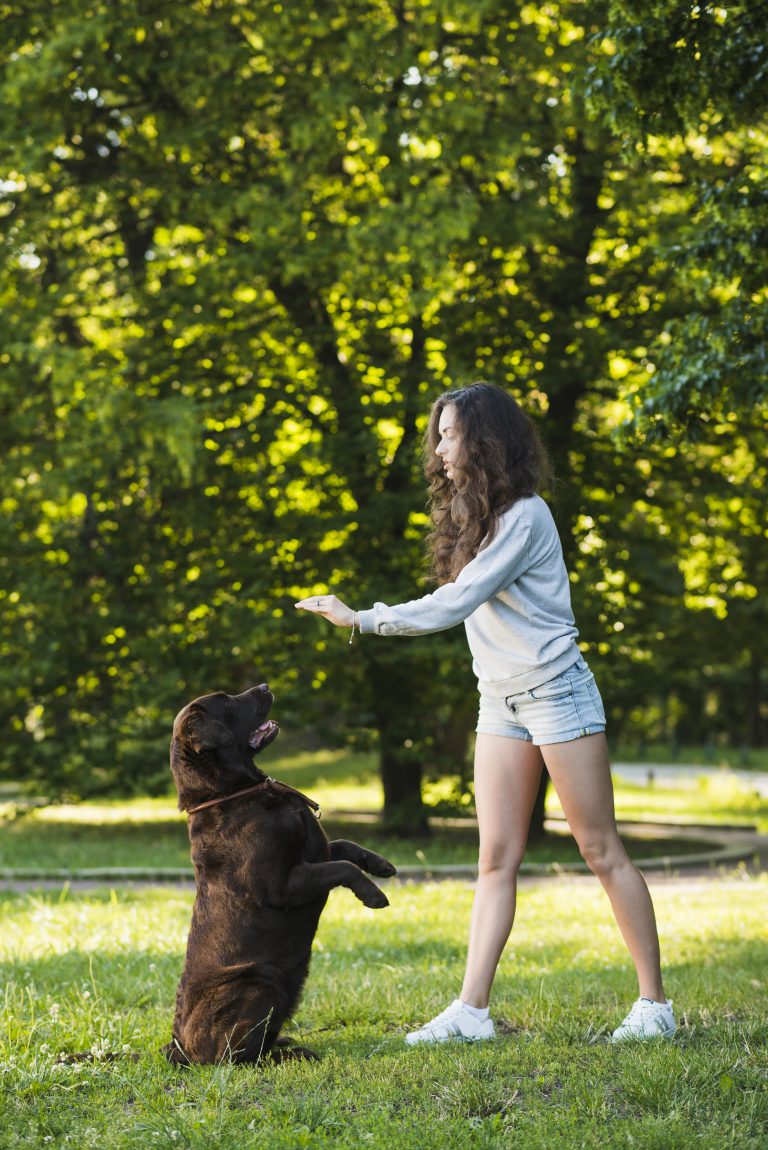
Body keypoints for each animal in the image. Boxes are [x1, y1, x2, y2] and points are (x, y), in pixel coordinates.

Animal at [162, 676, 395, 1062]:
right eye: (226, 700)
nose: (264, 685)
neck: (234, 793)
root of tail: (177, 1047)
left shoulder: (314, 852)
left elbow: (344, 846)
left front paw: (381, 864)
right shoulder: (284, 885)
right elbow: (343, 866)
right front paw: (373, 894)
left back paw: (287, 1045)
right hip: (262, 981)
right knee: (236, 1058)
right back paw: (292, 1054)